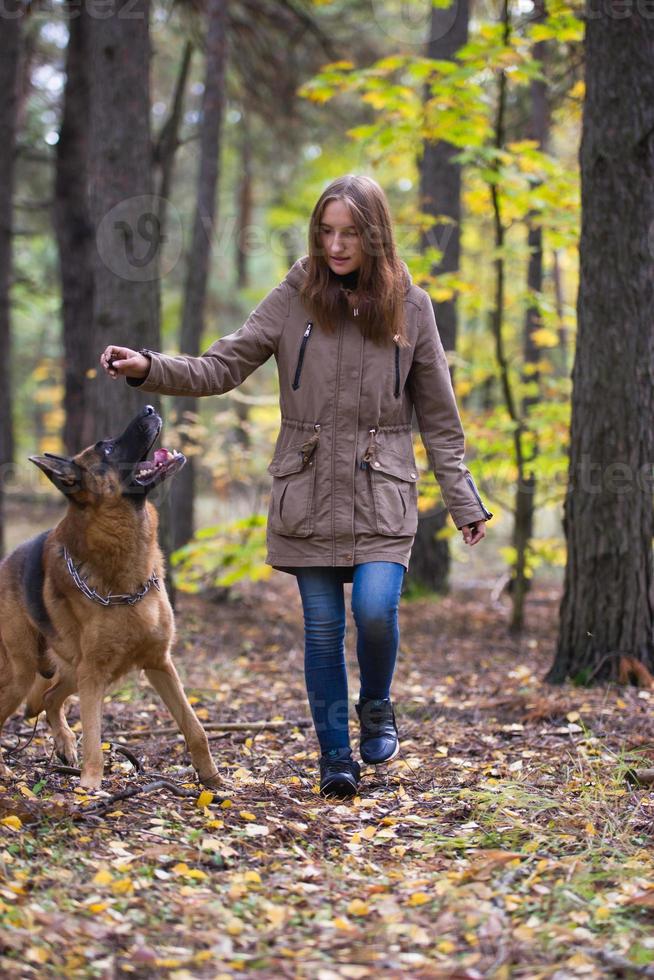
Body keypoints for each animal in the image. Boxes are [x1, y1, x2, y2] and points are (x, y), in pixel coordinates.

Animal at [0, 410, 222, 792]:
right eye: (105, 448)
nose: (149, 408)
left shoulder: (160, 664)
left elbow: (195, 728)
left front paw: (212, 778)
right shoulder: (94, 675)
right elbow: (94, 737)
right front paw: (89, 786)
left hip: (68, 670)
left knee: (50, 697)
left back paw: (63, 743)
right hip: (23, 674)